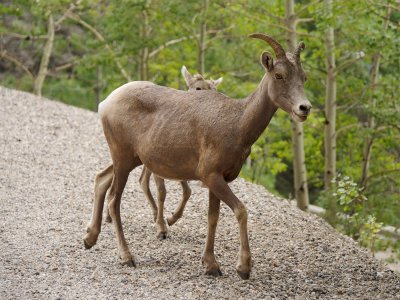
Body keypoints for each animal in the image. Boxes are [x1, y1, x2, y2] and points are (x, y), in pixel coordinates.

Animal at [101, 65, 223, 239]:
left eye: (214, 89)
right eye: (198, 88)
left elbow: (187, 191)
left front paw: (171, 219)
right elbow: (162, 192)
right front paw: (162, 228)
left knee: (140, 180)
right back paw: (110, 216)